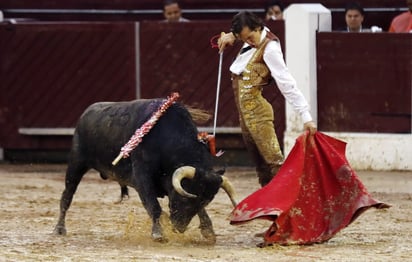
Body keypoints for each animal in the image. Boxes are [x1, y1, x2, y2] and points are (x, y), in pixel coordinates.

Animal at [53, 98, 237, 242]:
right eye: (185, 199)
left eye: (206, 201)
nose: (178, 228)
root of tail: (86, 112)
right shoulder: (143, 178)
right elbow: (153, 205)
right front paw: (159, 234)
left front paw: (208, 232)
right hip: (76, 164)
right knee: (67, 196)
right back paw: (59, 229)